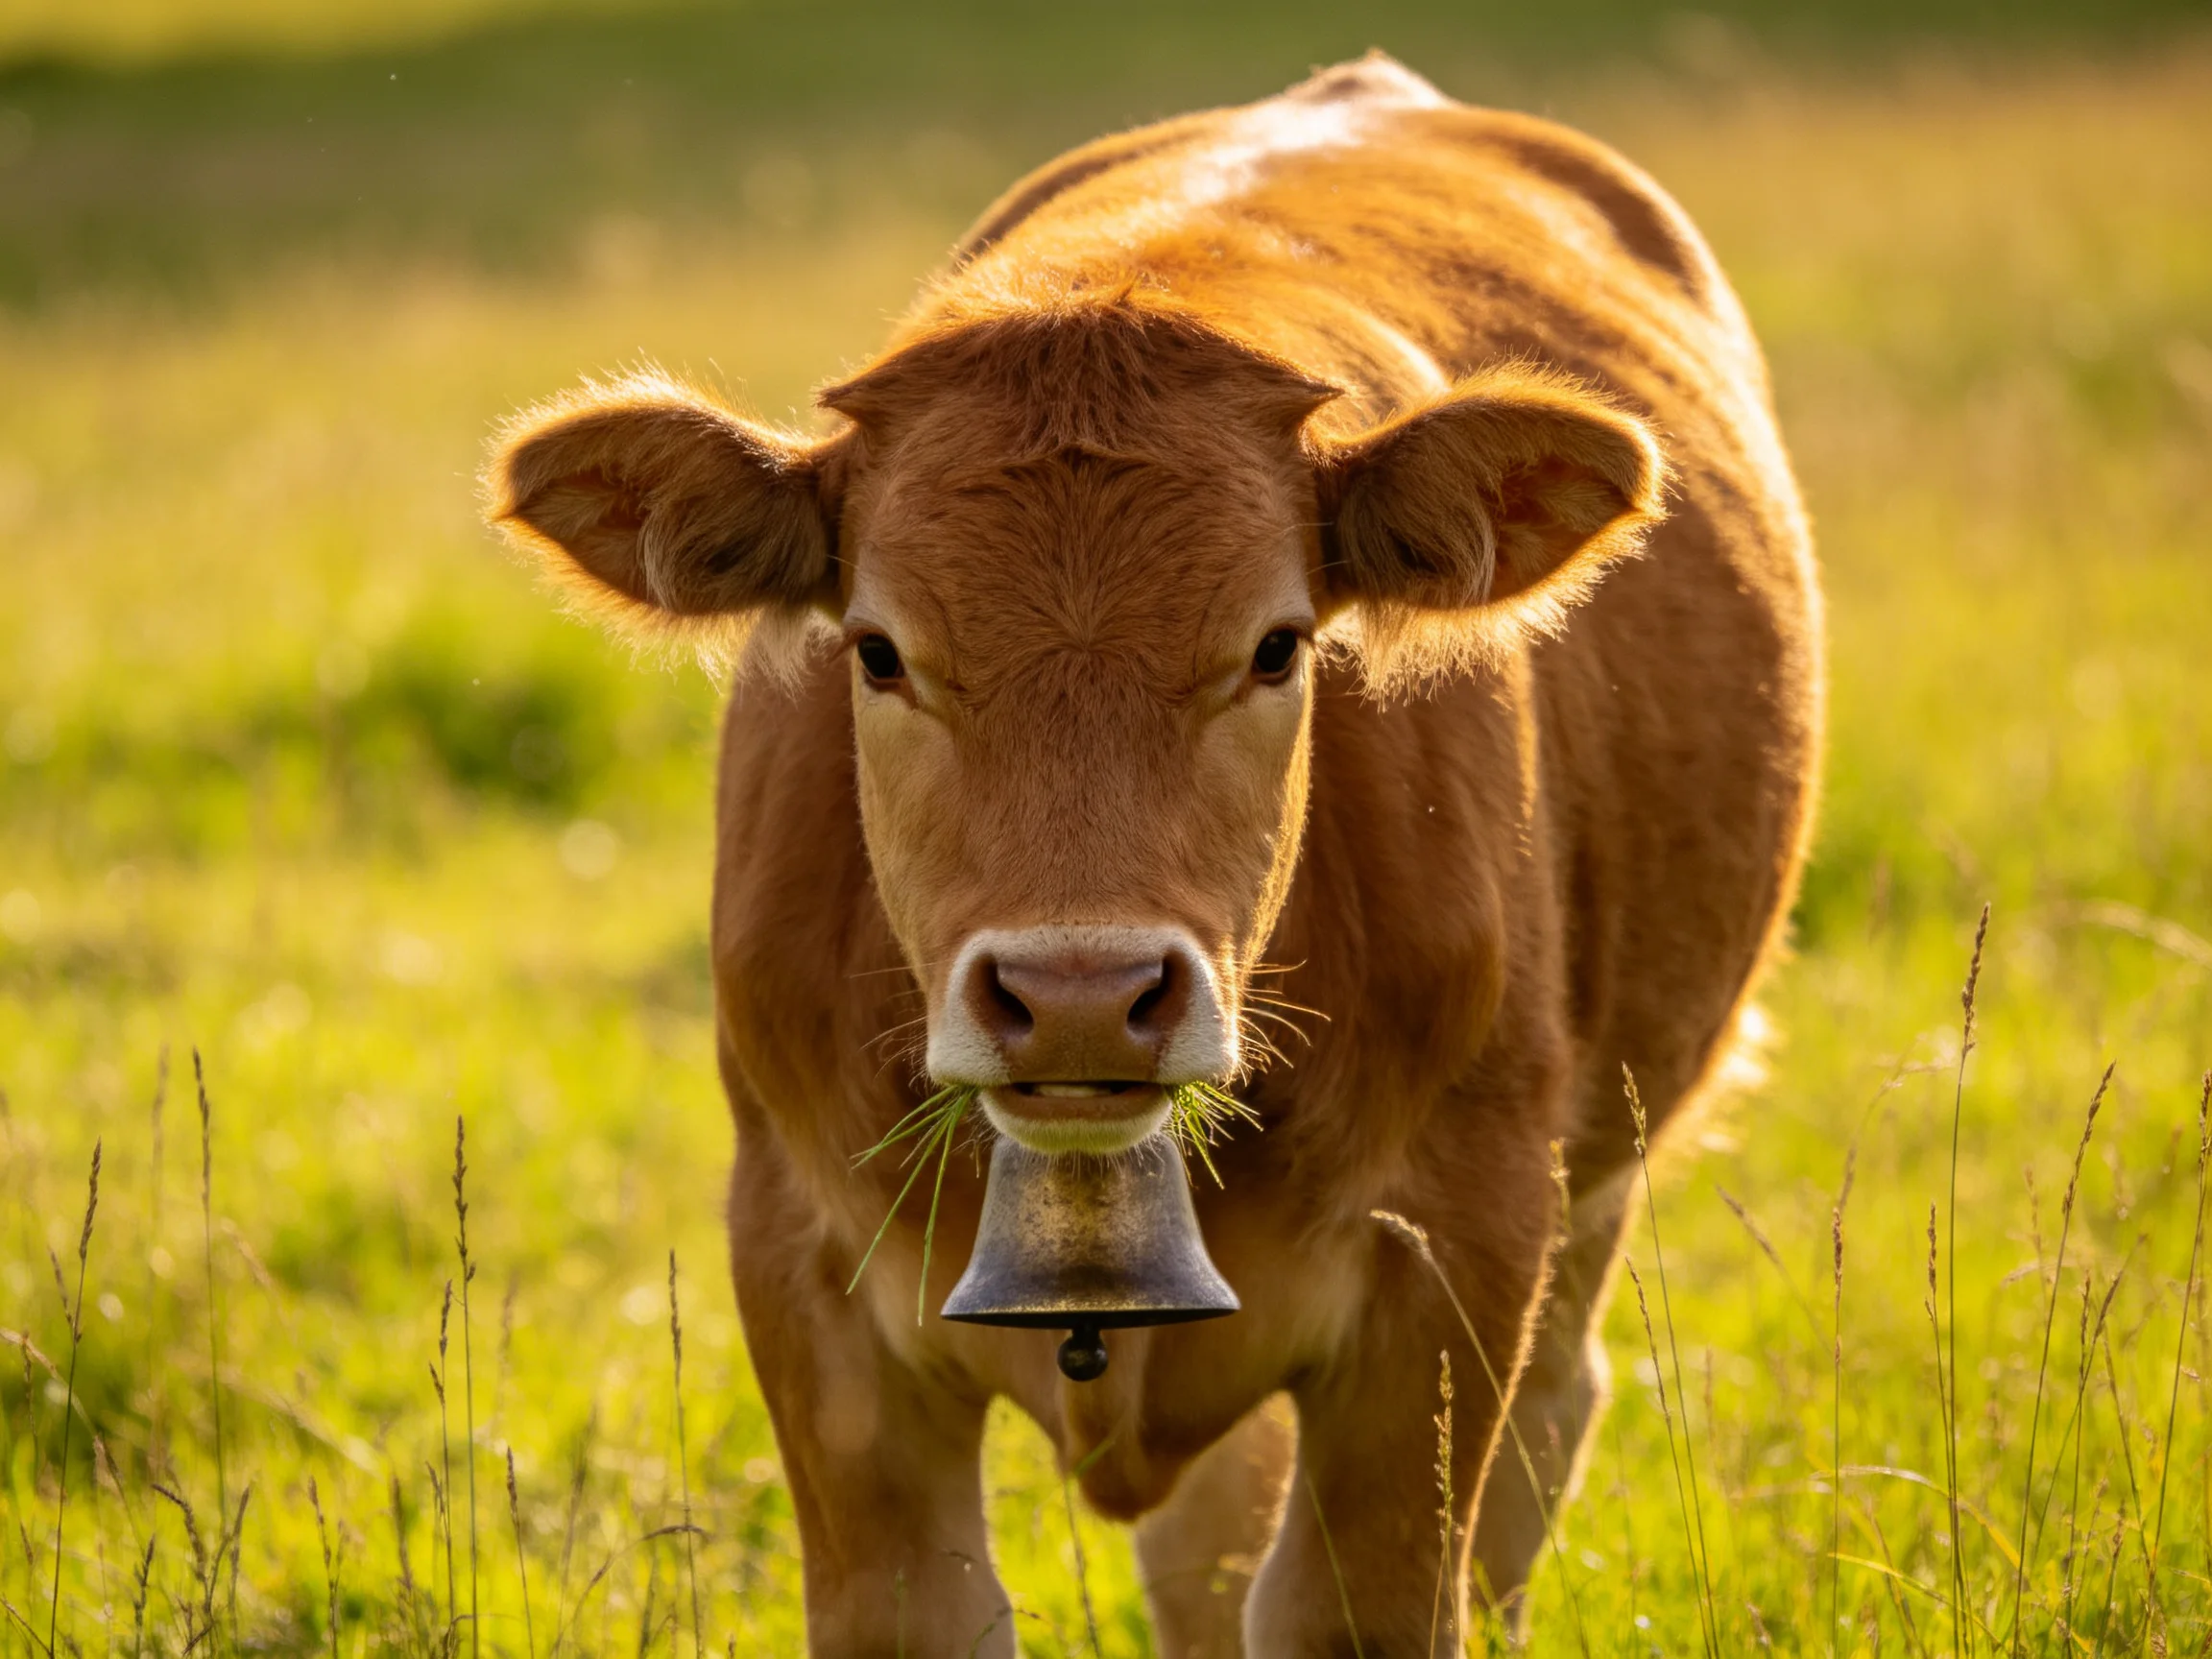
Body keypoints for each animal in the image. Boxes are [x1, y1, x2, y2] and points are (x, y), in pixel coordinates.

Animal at [488, 51, 1821, 1659]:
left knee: (1538, 1434)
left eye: (1277, 646)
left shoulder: (1457, 1256)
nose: (1079, 996)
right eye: (878, 651)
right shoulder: (805, 1276)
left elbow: (1359, 1595)